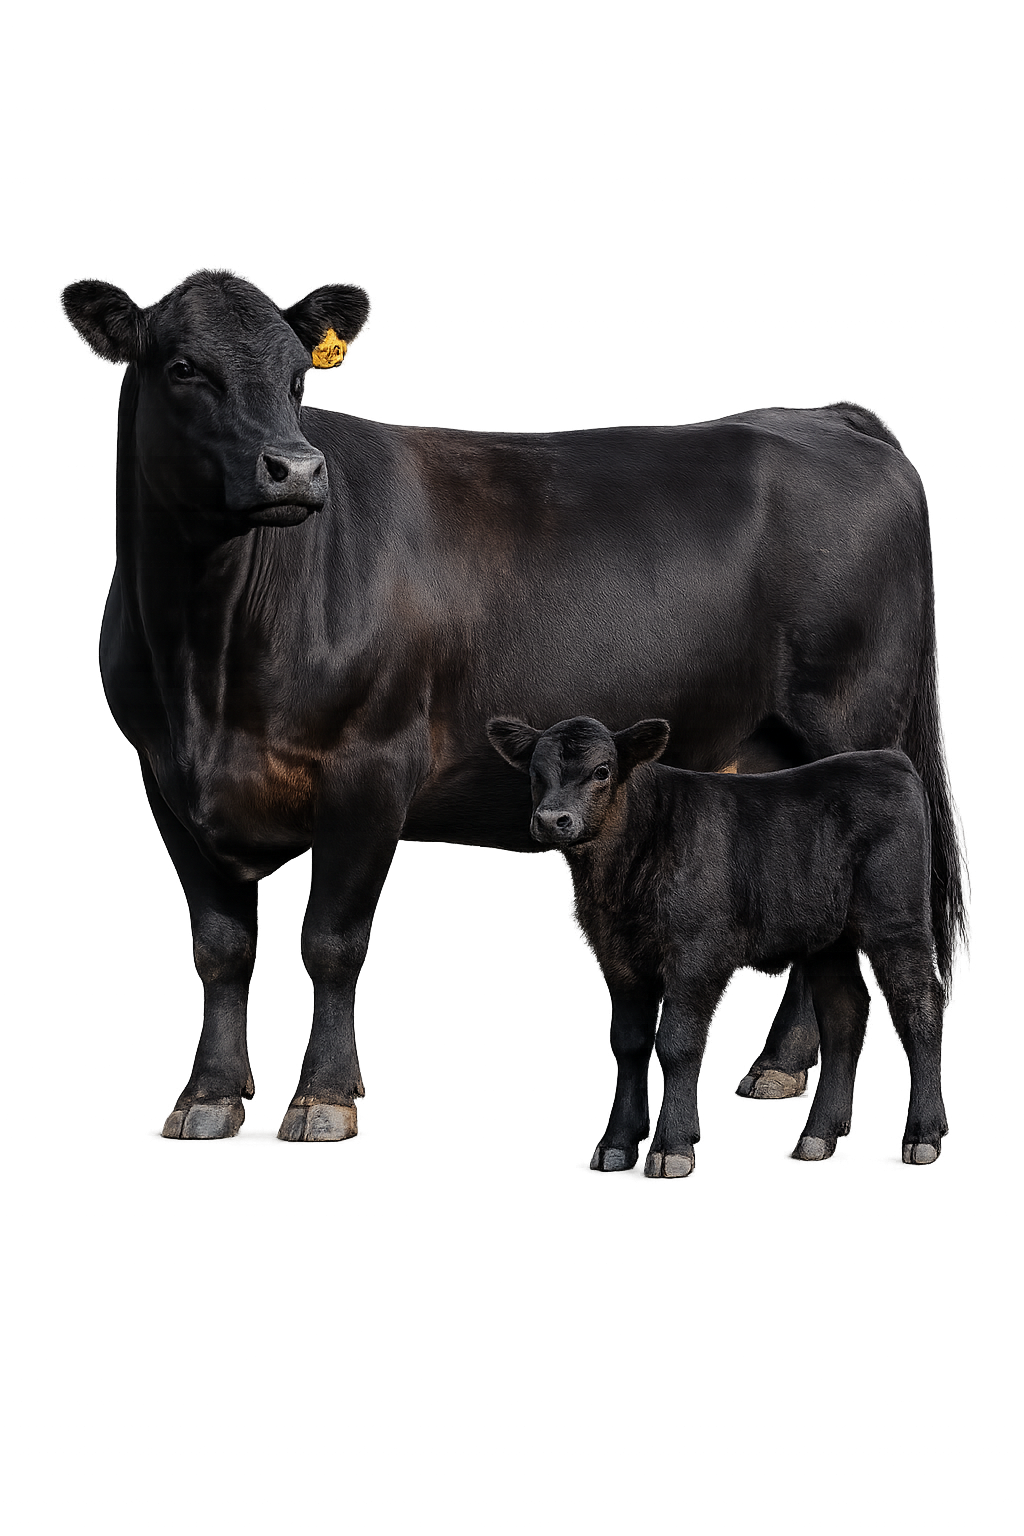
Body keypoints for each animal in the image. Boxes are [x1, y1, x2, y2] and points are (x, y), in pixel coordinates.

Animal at [486, 715, 949, 1175]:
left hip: (898, 918)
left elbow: (676, 1043)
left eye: (602, 770)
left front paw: (671, 1146)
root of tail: (886, 759)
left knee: (919, 1010)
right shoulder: (616, 955)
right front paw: (615, 1144)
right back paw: (818, 1135)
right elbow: (628, 1043)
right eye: (534, 773)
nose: (551, 819)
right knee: (844, 1015)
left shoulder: (696, 952)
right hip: (825, 938)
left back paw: (923, 1136)